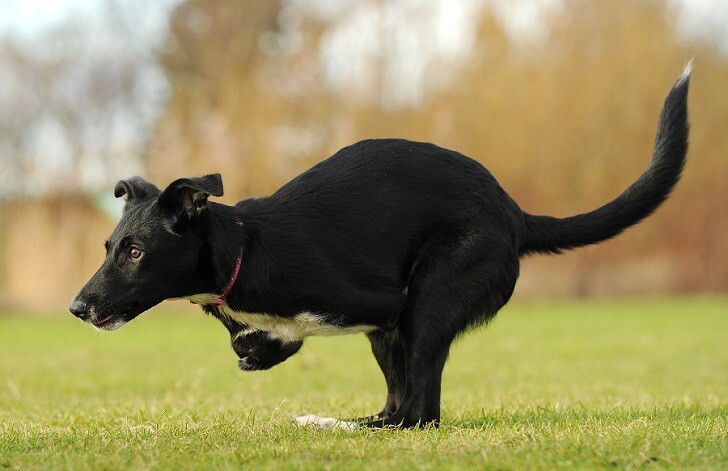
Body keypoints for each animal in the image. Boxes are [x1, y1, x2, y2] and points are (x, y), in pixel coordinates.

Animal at [68, 64, 688, 430]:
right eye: (108, 245)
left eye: (135, 252)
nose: (76, 308)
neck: (241, 250)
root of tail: (513, 213)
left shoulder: (384, 303)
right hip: (390, 333)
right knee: (399, 405)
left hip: (428, 301)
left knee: (417, 412)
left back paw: (339, 424)